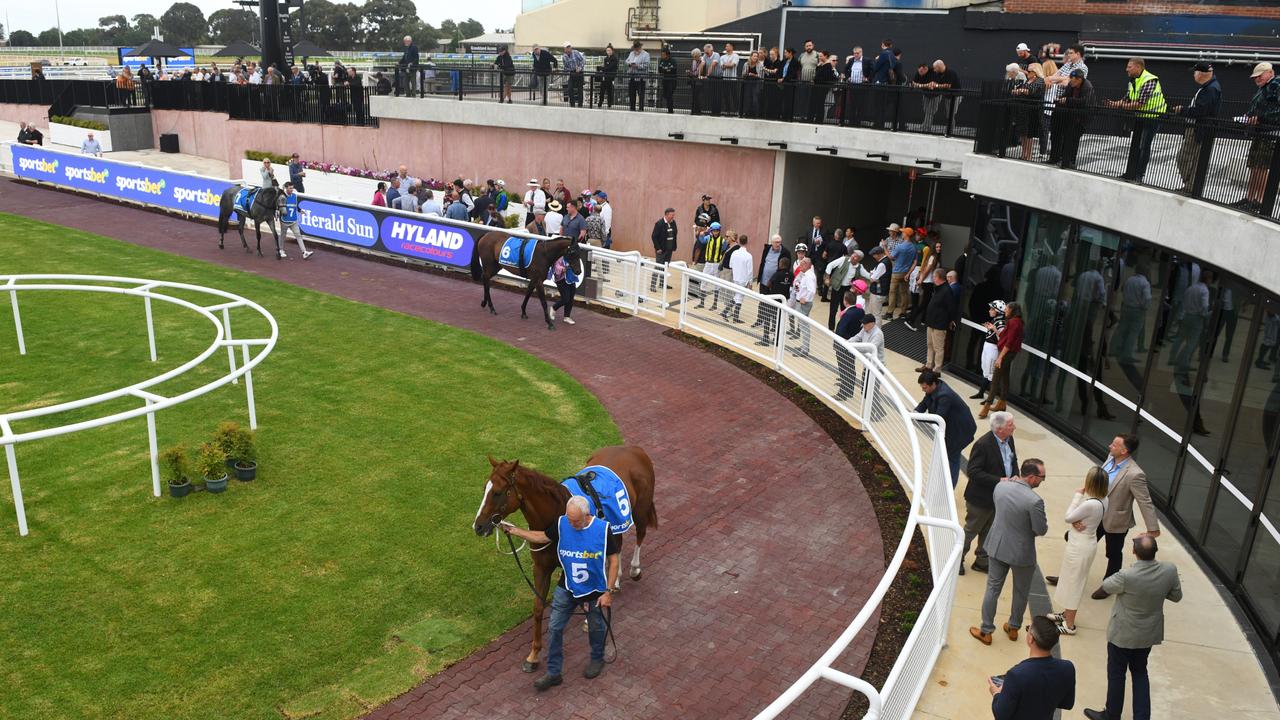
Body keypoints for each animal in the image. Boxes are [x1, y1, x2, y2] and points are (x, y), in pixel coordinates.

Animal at [476, 443, 665, 671]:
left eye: (496, 493)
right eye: (485, 488)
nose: (478, 526)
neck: (555, 515)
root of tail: (633, 448)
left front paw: (588, 619)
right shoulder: (541, 567)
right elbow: (538, 608)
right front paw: (534, 654)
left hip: (640, 508)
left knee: (640, 533)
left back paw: (634, 570)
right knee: (617, 546)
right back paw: (615, 582)